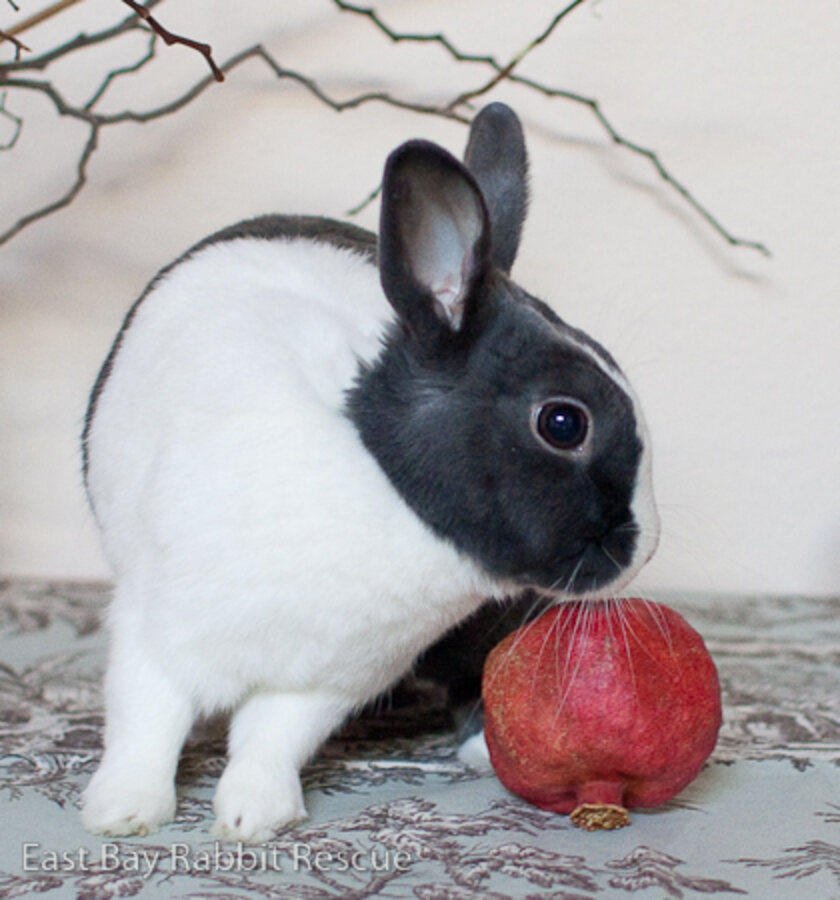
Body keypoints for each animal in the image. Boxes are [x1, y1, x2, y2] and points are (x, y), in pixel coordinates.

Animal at [80, 102, 659, 844]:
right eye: (563, 423)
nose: (643, 547)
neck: (376, 477)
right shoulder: (153, 627)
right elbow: (145, 722)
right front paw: (123, 813)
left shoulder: (327, 679)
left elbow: (270, 741)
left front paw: (253, 816)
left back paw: (481, 746)